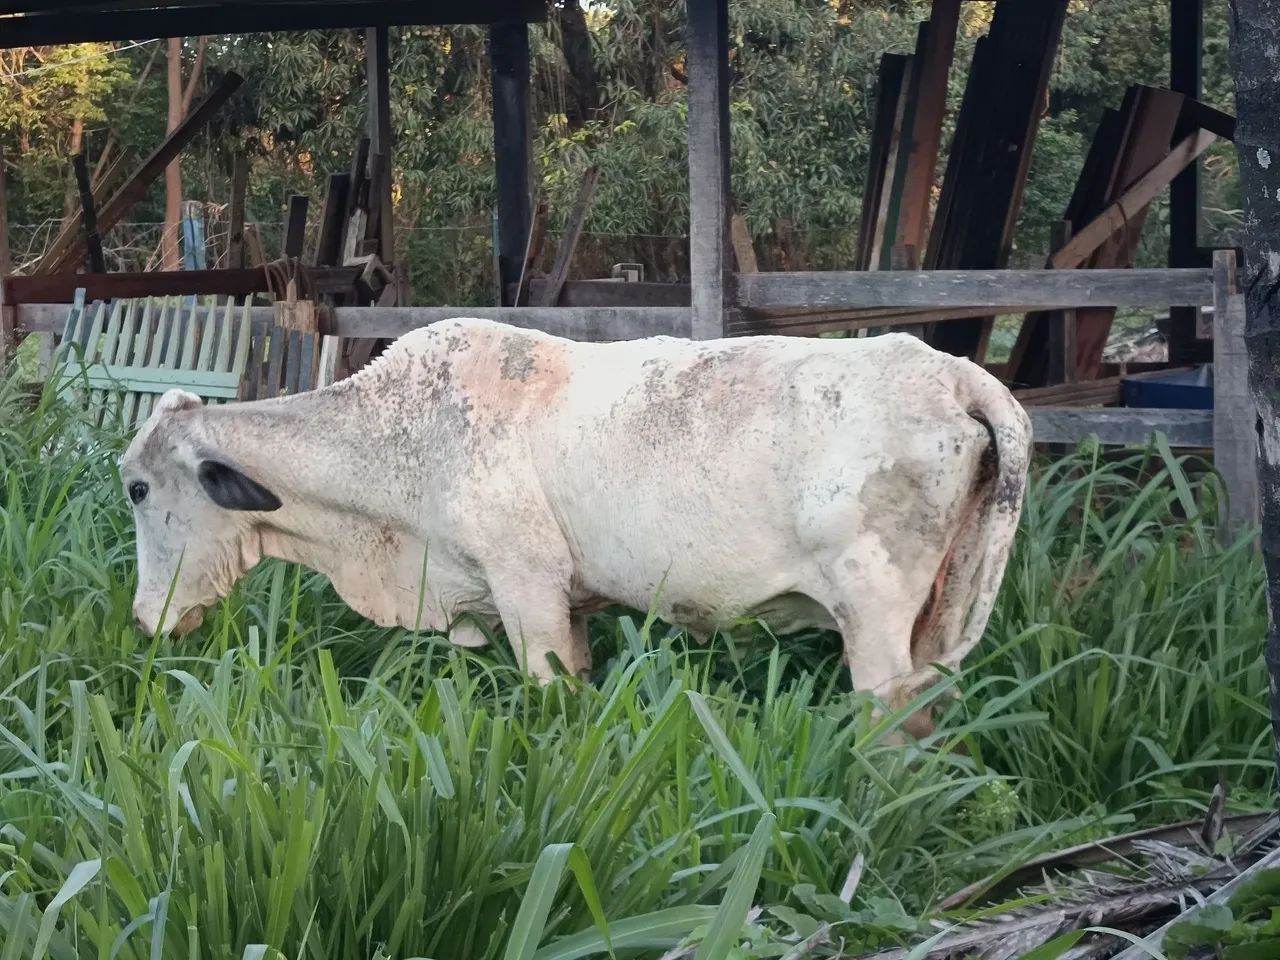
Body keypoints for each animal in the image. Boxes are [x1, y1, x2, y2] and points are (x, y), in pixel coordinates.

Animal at [121, 318, 1031, 732]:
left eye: (135, 488)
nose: (145, 619)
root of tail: (957, 375)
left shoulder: (526, 590)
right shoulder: (557, 605)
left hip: (876, 623)